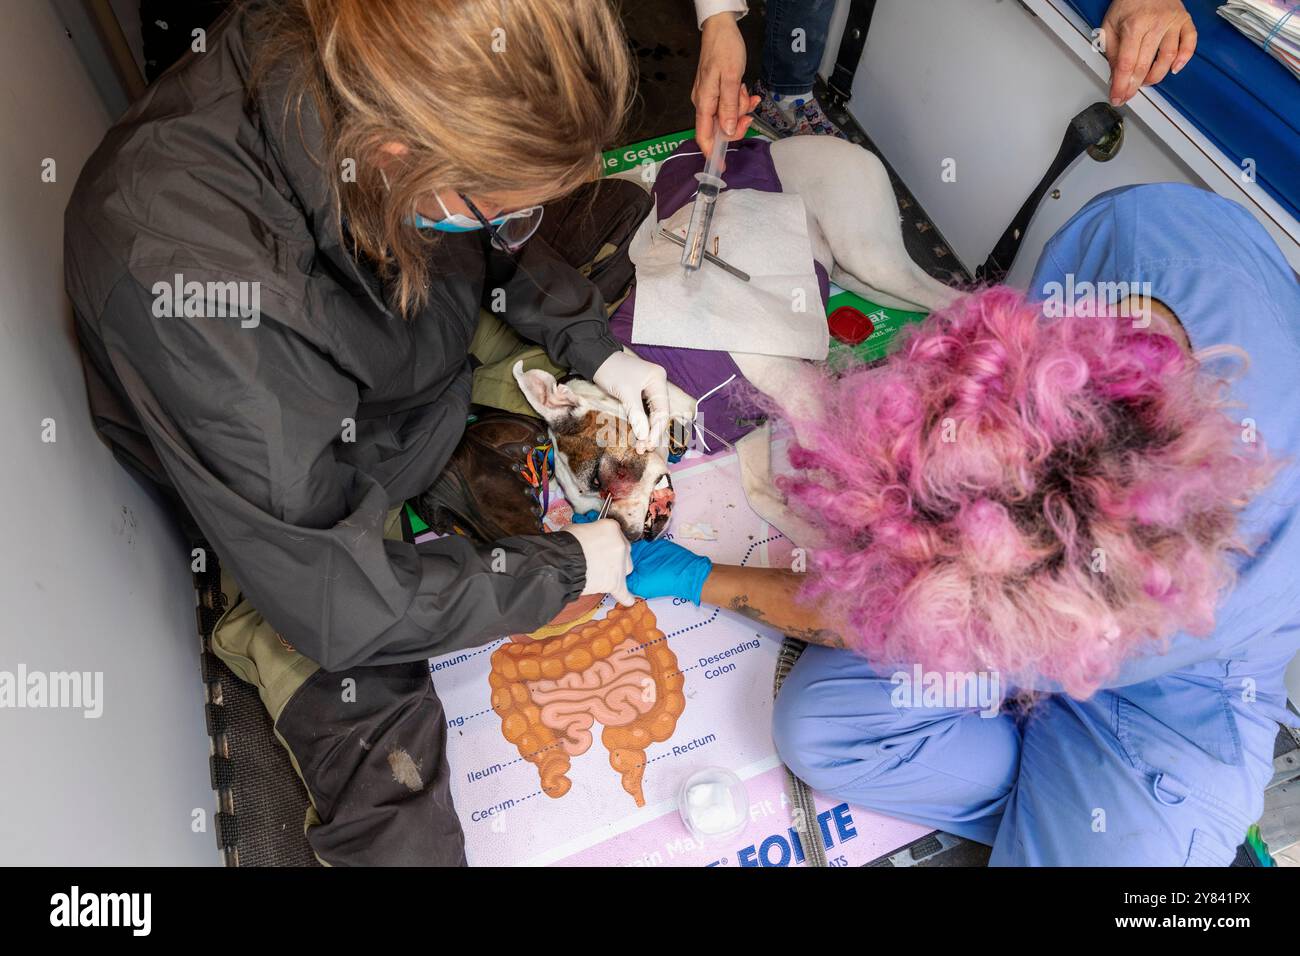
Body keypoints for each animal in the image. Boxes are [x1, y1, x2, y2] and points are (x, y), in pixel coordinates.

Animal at [514, 138, 956, 548]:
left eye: (598, 479)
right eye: (585, 510)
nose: (629, 535)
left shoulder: (797, 390)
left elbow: (824, 459)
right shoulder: (746, 424)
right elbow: (762, 497)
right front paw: (821, 542)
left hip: (869, 257)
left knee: (948, 295)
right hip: (859, 278)